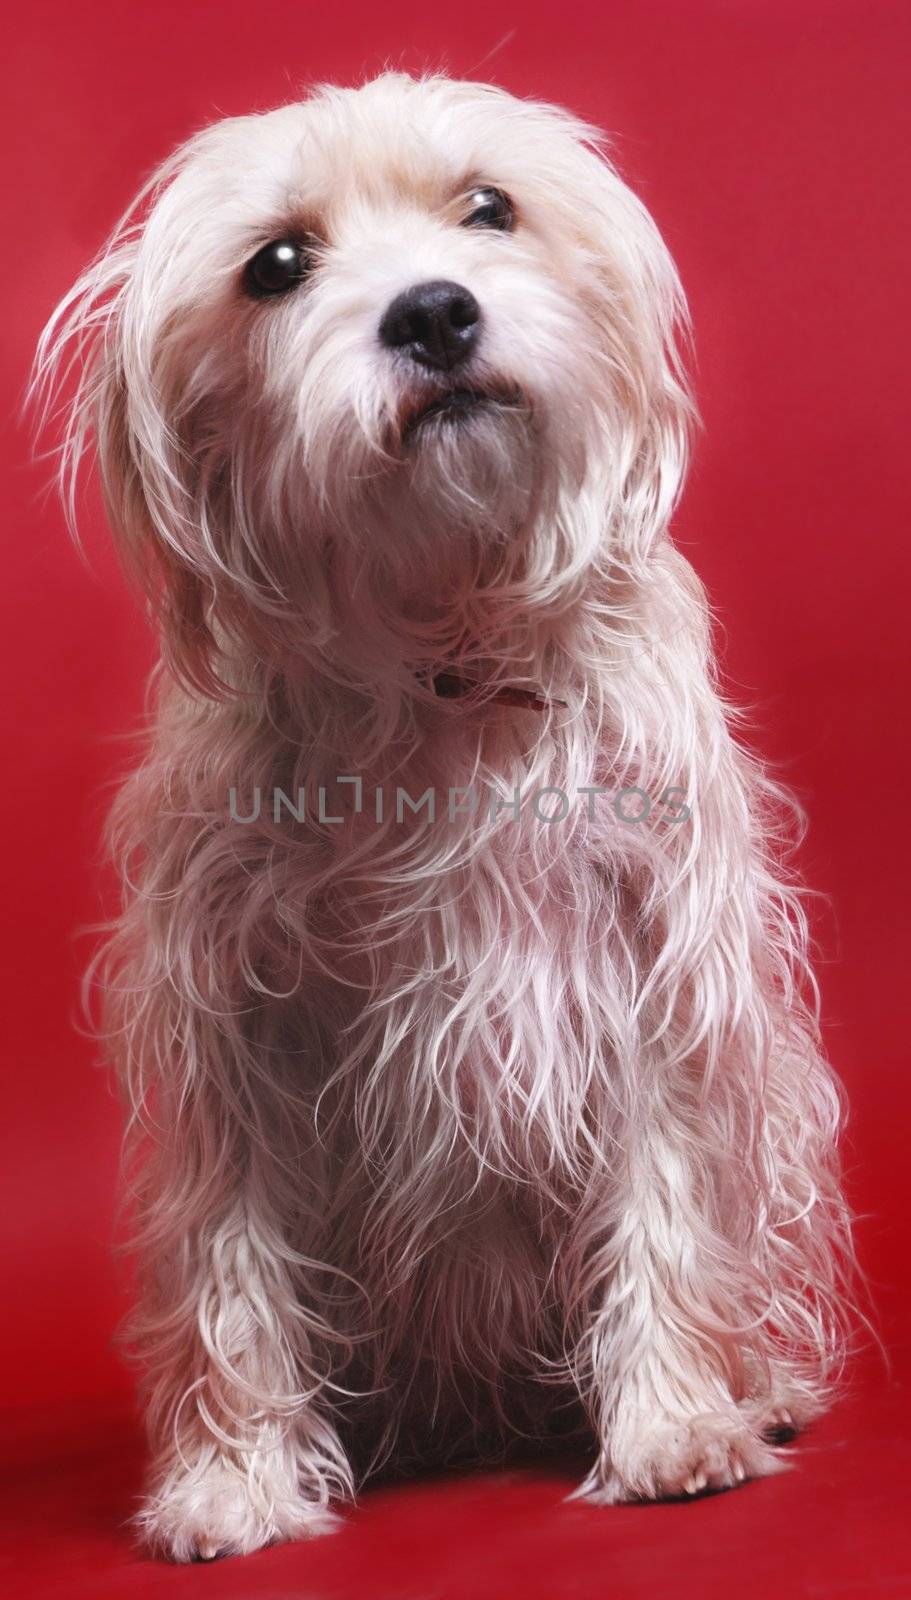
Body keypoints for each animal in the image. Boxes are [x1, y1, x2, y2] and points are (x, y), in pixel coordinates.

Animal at [30, 75, 851, 1561]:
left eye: (486, 207)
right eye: (275, 265)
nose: (430, 313)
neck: (439, 650)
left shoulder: (644, 964)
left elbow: (661, 1202)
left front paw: (672, 1423)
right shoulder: (239, 1025)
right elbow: (234, 1259)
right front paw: (234, 1477)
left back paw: (753, 1387)